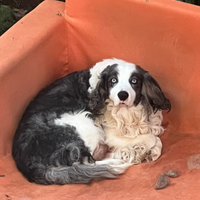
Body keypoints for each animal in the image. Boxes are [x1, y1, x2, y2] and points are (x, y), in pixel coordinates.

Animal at [12, 57, 170, 184]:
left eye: (134, 81)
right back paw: (120, 159)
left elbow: (155, 136)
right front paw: (143, 149)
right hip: (83, 122)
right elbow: (152, 138)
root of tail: (26, 165)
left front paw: (150, 151)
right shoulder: (109, 136)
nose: (122, 95)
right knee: (87, 161)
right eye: (113, 81)